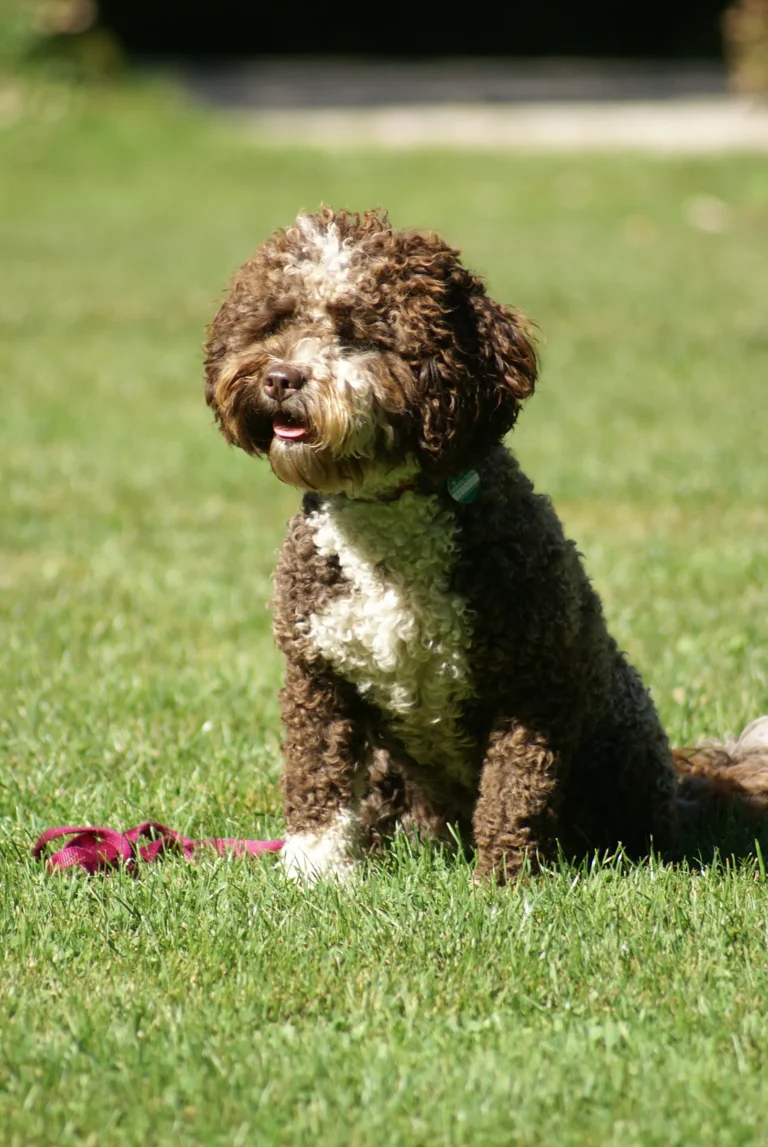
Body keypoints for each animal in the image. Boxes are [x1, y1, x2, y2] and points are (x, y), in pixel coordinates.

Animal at [204, 206, 768, 880]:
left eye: (361, 332)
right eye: (275, 320)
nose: (280, 377)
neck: (385, 525)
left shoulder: (533, 684)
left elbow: (513, 792)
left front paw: (502, 883)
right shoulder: (318, 672)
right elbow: (318, 778)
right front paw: (314, 872)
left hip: (620, 741)